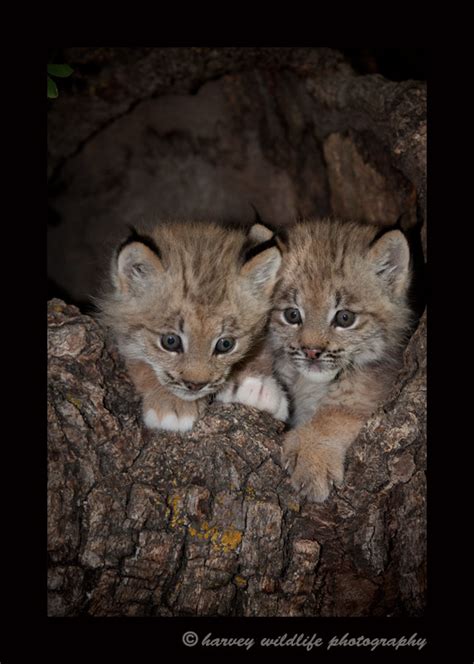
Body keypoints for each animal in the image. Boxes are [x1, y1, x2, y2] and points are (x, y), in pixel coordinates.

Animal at [98, 220, 286, 434]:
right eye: (170, 341)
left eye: (226, 344)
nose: (196, 385)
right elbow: (140, 362)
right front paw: (171, 404)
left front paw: (256, 384)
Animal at [272, 220, 412, 500]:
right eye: (292, 315)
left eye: (345, 318)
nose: (311, 352)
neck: (310, 383)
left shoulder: (378, 376)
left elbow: (341, 407)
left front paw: (312, 454)